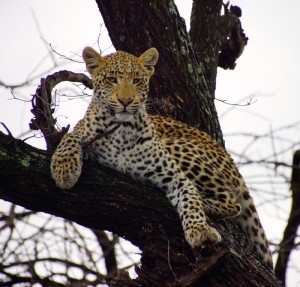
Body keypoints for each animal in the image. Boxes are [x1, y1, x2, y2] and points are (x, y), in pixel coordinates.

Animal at [50, 45, 274, 268]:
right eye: (112, 79)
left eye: (136, 80)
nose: (125, 101)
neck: (122, 129)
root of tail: (227, 156)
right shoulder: (81, 130)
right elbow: (70, 137)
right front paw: (64, 170)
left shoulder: (176, 177)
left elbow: (191, 199)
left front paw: (200, 230)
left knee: (232, 202)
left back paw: (206, 202)